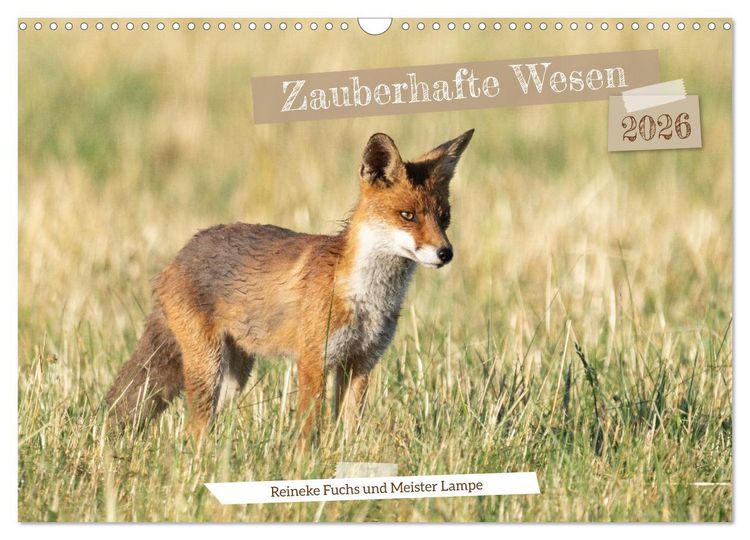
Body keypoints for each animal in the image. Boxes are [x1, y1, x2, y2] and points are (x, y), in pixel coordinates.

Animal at [105, 129, 474, 442]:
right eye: (407, 216)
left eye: (444, 218)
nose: (446, 253)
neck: (366, 298)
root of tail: (177, 257)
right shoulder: (312, 361)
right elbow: (309, 430)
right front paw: (305, 466)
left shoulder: (360, 363)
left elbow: (349, 431)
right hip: (207, 367)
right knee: (192, 430)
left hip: (234, 377)